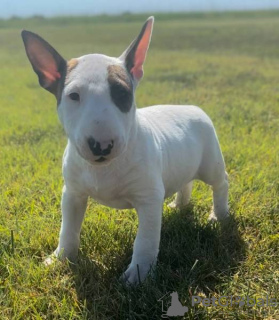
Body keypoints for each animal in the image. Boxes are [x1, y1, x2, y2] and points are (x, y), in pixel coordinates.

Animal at [21, 16, 228, 284]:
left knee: (220, 182)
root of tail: (192, 107)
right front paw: (59, 259)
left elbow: (146, 240)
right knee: (185, 181)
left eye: (122, 93)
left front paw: (138, 276)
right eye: (73, 96)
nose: (101, 145)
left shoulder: (149, 198)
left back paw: (219, 216)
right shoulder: (73, 193)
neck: (104, 168)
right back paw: (179, 205)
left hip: (210, 159)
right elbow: (68, 229)